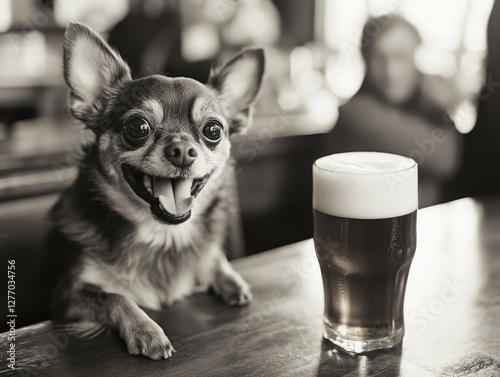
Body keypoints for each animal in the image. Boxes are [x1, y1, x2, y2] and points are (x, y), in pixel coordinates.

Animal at [47, 22, 266, 358]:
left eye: (213, 130)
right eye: (138, 127)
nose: (183, 150)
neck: (164, 237)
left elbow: (212, 255)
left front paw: (230, 279)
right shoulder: (68, 296)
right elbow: (114, 296)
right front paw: (146, 330)